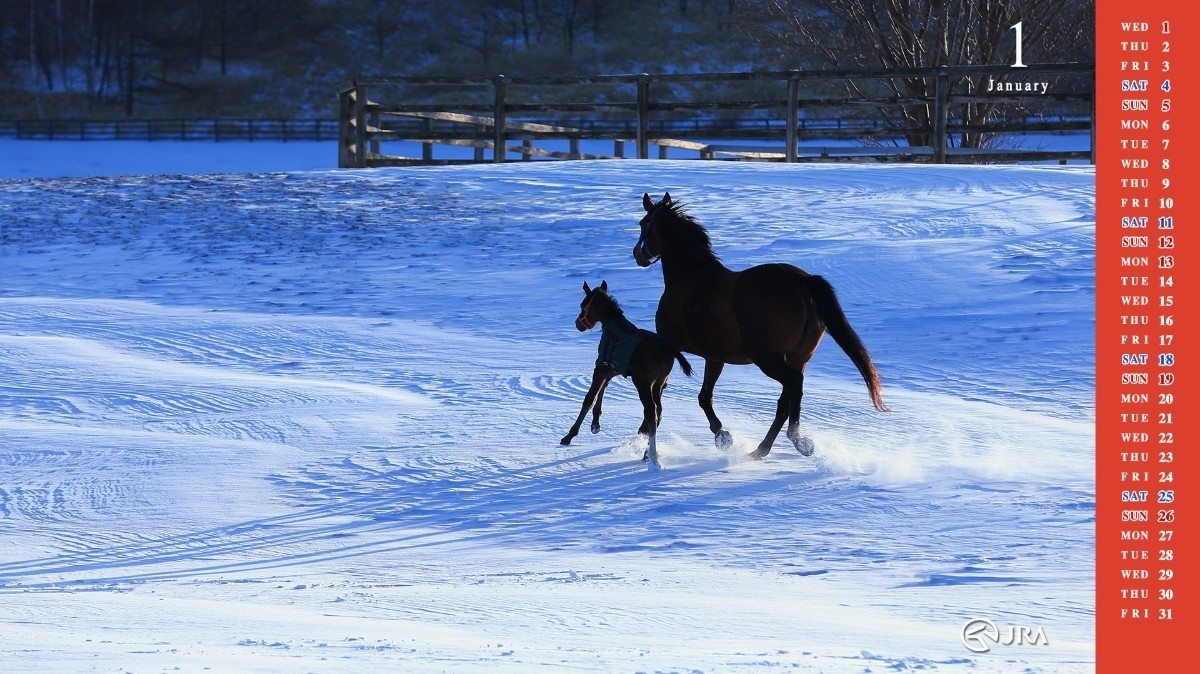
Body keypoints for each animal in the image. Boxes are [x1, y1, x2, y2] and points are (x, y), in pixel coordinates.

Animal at [561, 280, 696, 465]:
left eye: (583, 306)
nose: (578, 324)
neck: (612, 328)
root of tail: (669, 350)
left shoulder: (600, 366)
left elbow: (589, 398)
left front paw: (569, 435)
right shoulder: (612, 368)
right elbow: (602, 391)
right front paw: (595, 424)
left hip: (643, 382)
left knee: (651, 411)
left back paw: (651, 454)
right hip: (660, 383)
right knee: (658, 411)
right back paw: (646, 449)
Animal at [633, 191, 888, 458]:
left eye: (643, 223)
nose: (637, 254)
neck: (689, 277)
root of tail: (802, 281)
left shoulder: (671, 349)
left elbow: (657, 399)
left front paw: (646, 443)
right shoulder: (714, 357)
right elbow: (704, 397)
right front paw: (722, 436)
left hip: (767, 358)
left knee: (793, 386)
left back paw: (795, 439)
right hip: (797, 357)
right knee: (785, 400)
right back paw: (762, 449)